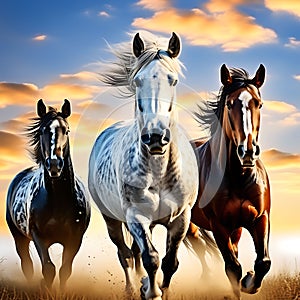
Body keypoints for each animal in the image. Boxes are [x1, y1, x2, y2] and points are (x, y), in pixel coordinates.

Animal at [5, 99, 90, 290]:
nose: (54, 164)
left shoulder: (75, 239)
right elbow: (49, 269)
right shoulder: (38, 236)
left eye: (66, 130)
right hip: (19, 238)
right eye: (42, 130)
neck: (58, 201)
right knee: (27, 265)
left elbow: (65, 270)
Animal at [88, 31, 198, 298]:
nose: (155, 136)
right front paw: (151, 291)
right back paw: (131, 287)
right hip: (112, 220)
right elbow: (151, 258)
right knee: (125, 255)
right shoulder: (136, 217)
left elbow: (170, 262)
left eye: (173, 80)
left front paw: (160, 290)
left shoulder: (181, 218)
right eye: (137, 80)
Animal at [186, 64, 270, 298]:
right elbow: (232, 267)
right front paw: (242, 284)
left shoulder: (260, 218)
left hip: (237, 228)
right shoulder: (219, 225)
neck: (239, 177)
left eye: (259, 103)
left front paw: (249, 281)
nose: (247, 152)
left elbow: (263, 262)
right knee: (200, 247)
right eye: (230, 104)